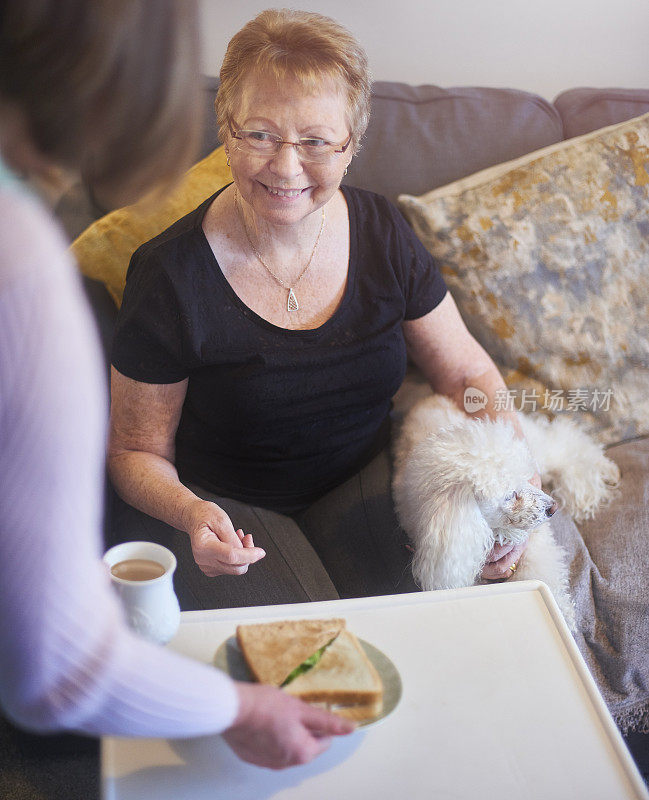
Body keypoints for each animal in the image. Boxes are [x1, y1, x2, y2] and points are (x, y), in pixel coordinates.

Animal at [392, 390, 620, 632]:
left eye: (526, 478)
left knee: (563, 441)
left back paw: (599, 475)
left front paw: (562, 614)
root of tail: (429, 397)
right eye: (511, 495)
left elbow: (542, 574)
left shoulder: (535, 544)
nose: (553, 508)